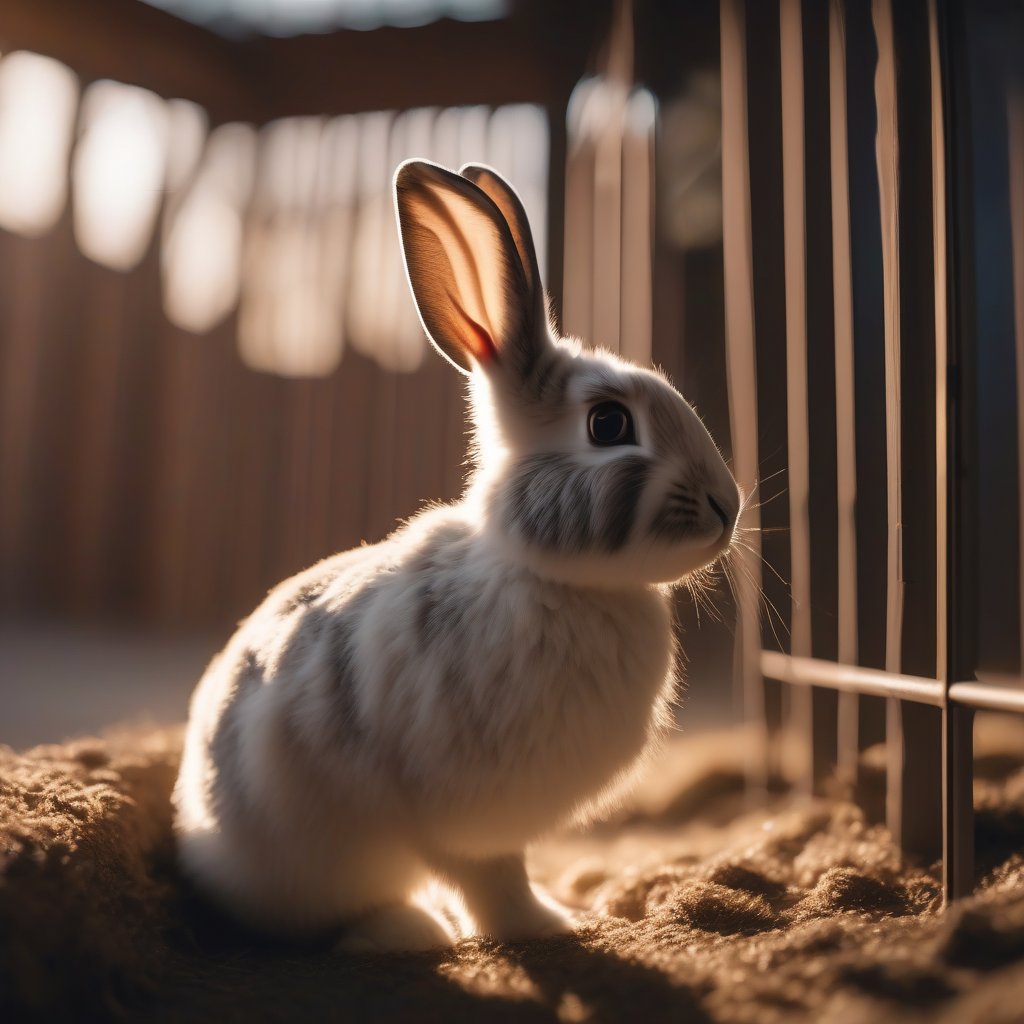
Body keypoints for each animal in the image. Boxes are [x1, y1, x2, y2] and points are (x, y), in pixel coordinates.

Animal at [172, 159, 740, 953]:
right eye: (608, 424)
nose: (730, 507)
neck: (552, 577)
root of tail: (198, 852)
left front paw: (562, 913)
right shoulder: (451, 811)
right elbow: (488, 877)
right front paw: (547, 926)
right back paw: (408, 931)